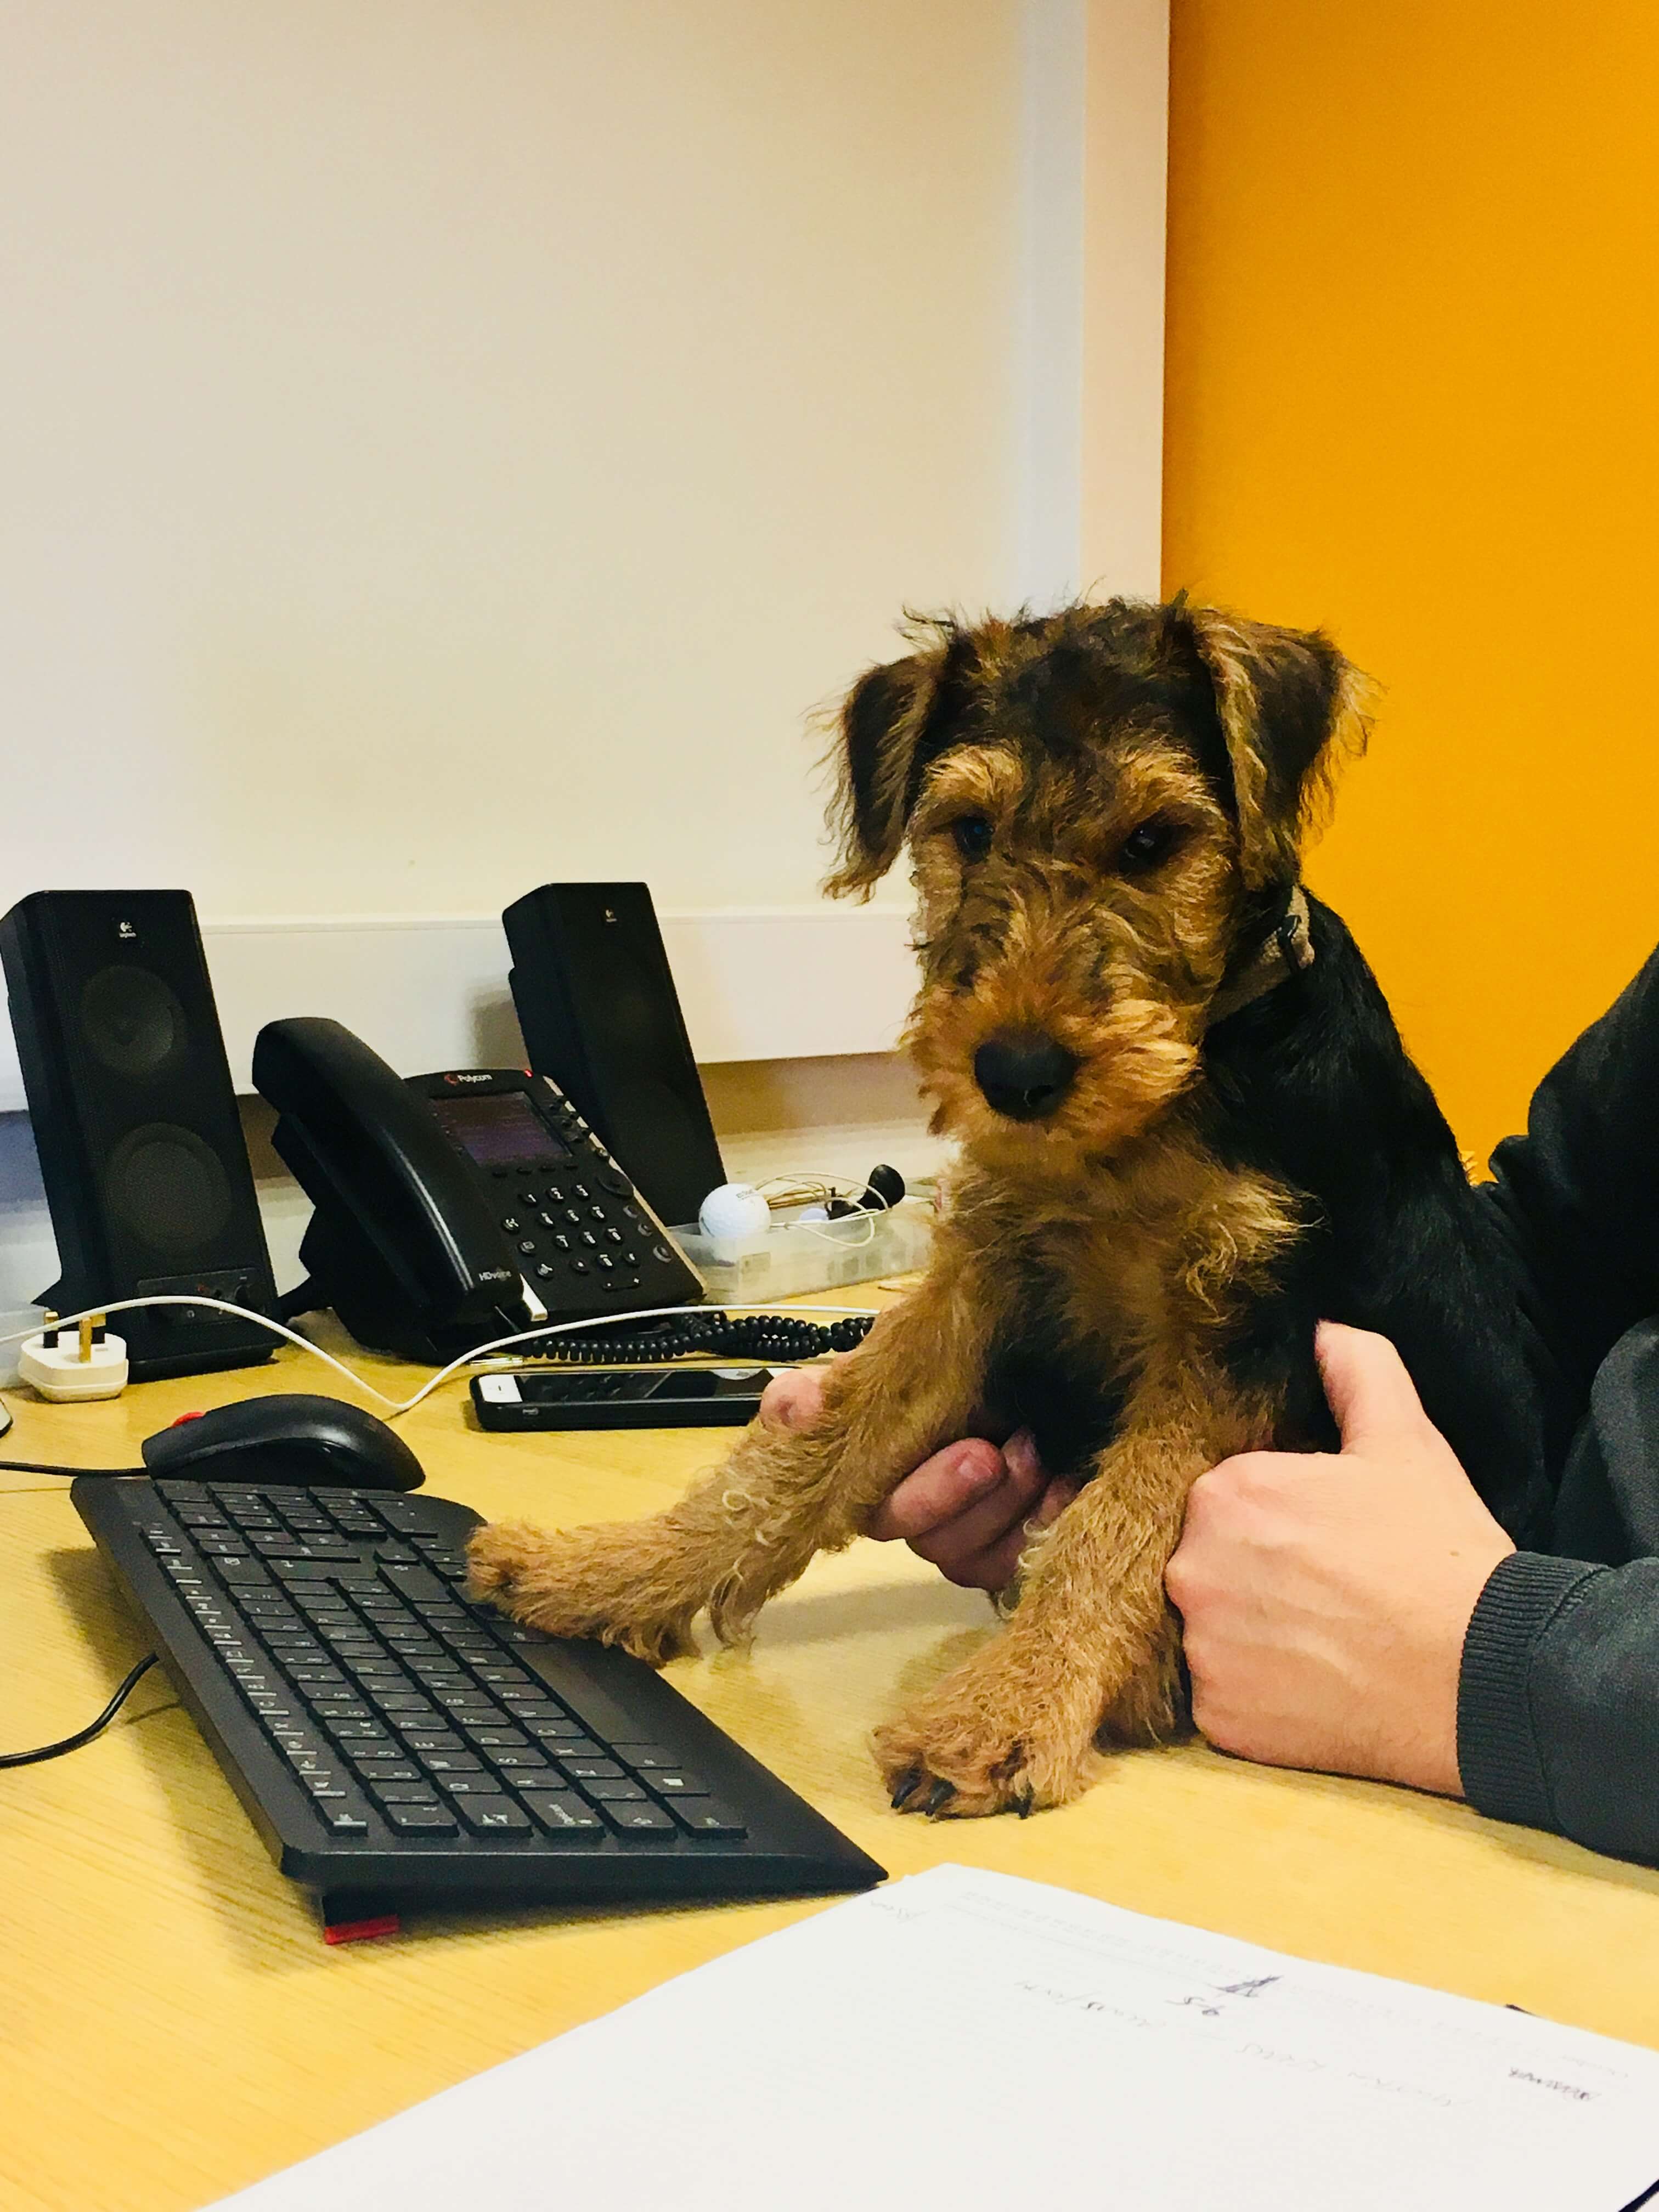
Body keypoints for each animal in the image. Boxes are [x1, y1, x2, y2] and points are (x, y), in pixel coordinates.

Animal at [469, 601, 1557, 1814]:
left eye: (1153, 842)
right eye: (970, 830)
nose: (1016, 1073)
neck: (1160, 1105)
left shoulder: (1238, 1335)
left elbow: (1115, 1528)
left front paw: (1001, 1715)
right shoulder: (983, 1278)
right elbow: (793, 1463)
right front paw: (605, 1572)